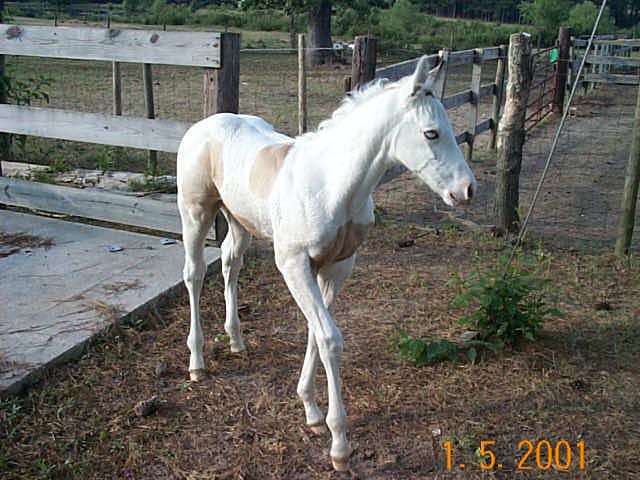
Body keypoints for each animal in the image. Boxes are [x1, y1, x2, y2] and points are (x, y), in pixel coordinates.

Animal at [175, 54, 476, 470]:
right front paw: (339, 445)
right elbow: (330, 339)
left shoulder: (336, 266)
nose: (467, 190)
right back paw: (197, 363)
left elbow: (315, 333)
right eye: (431, 133)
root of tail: (205, 125)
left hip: (239, 220)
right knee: (194, 274)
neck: (333, 185)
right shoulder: (293, 264)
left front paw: (312, 413)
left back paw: (236, 341)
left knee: (230, 264)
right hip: (196, 213)